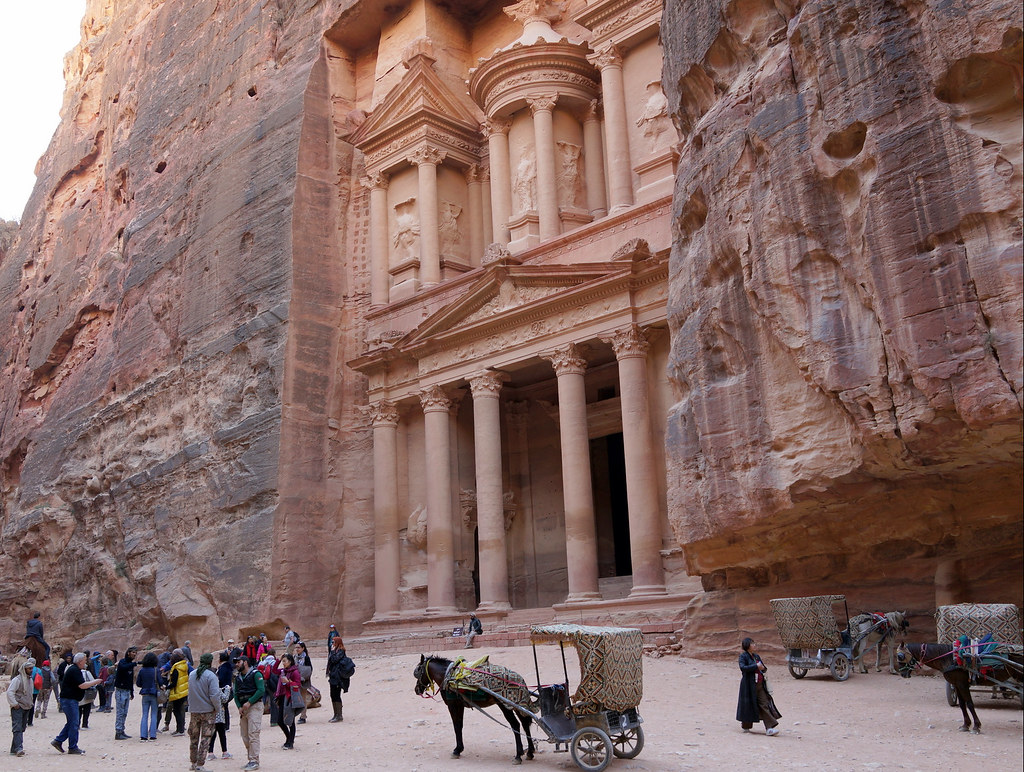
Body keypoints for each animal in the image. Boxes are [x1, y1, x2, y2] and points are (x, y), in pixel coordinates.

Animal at [896, 641, 1024, 733]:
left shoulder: (962, 684)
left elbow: (970, 704)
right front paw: (966, 725)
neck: (950, 658)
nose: (902, 674)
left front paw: (976, 726)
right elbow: (962, 704)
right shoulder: (956, 684)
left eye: (900, 656)